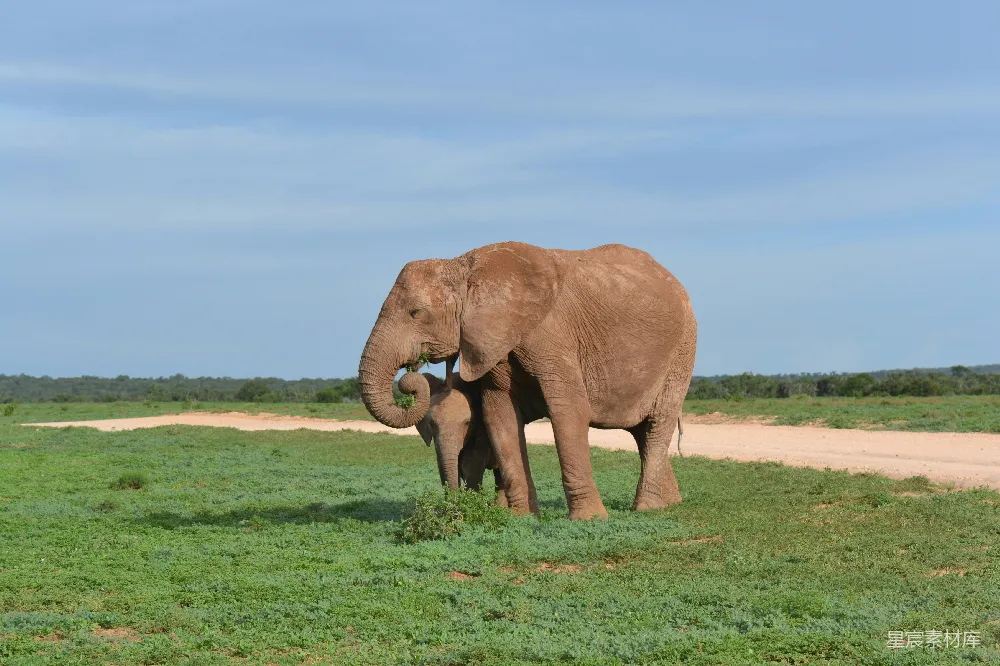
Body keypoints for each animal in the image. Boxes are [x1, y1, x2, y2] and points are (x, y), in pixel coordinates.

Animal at [359, 241, 697, 520]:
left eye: (416, 313)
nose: (410, 376)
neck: (467, 267)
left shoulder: (553, 334)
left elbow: (569, 411)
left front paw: (589, 519)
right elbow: (499, 415)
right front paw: (521, 517)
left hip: (682, 350)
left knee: (658, 422)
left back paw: (647, 509)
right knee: (642, 430)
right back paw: (670, 504)